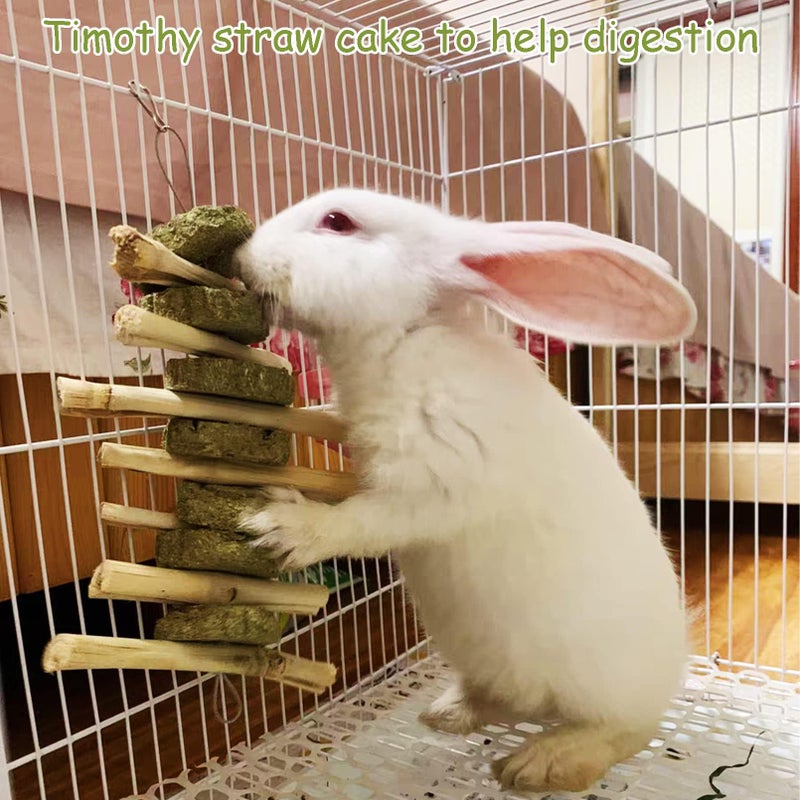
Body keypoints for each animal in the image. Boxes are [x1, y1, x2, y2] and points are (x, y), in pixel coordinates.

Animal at [233, 188, 697, 794]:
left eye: (338, 222)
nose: (241, 256)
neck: (402, 337)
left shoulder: (432, 486)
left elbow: (359, 522)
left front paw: (281, 526)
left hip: (606, 691)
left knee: (625, 732)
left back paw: (541, 762)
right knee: (506, 701)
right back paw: (447, 712)